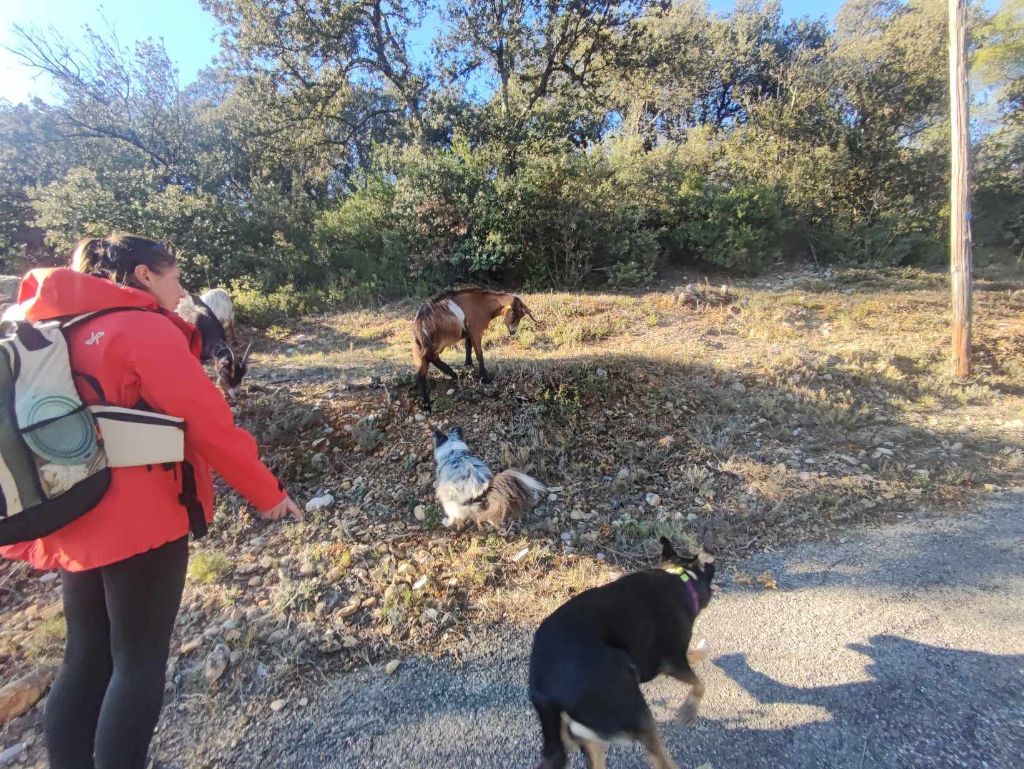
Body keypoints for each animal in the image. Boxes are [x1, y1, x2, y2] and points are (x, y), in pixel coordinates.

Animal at [528, 536, 712, 765]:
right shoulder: (673, 661)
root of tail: (543, 692)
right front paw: (689, 710)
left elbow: (694, 656)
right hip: (635, 711)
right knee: (662, 761)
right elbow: (700, 684)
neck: (681, 577)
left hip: (590, 736)